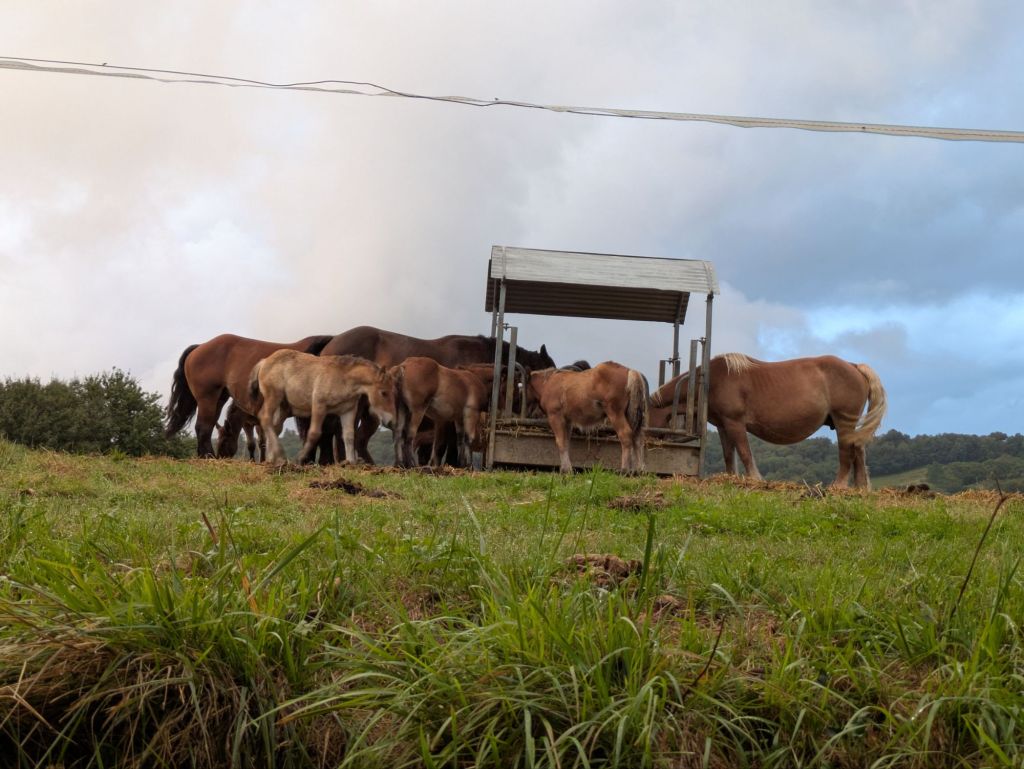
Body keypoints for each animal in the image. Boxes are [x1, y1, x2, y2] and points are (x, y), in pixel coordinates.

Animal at [165, 333, 333, 457]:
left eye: (224, 442)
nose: (222, 456)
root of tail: (200, 346)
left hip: (219, 399)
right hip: (207, 398)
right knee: (203, 427)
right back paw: (208, 456)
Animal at [248, 351, 398, 466]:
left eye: (393, 392)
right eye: (384, 393)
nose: (391, 421)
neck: (343, 378)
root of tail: (264, 361)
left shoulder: (348, 411)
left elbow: (349, 435)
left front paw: (351, 462)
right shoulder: (319, 406)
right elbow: (314, 433)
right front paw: (300, 459)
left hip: (284, 408)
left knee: (274, 427)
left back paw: (272, 458)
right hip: (274, 397)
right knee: (265, 418)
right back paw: (280, 454)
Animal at [649, 353, 887, 488]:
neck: (712, 380)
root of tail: (854, 366)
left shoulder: (735, 423)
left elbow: (744, 452)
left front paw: (755, 479)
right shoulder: (724, 426)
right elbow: (729, 455)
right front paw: (732, 478)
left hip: (844, 422)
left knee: (847, 453)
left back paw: (839, 485)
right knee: (858, 451)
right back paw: (860, 488)